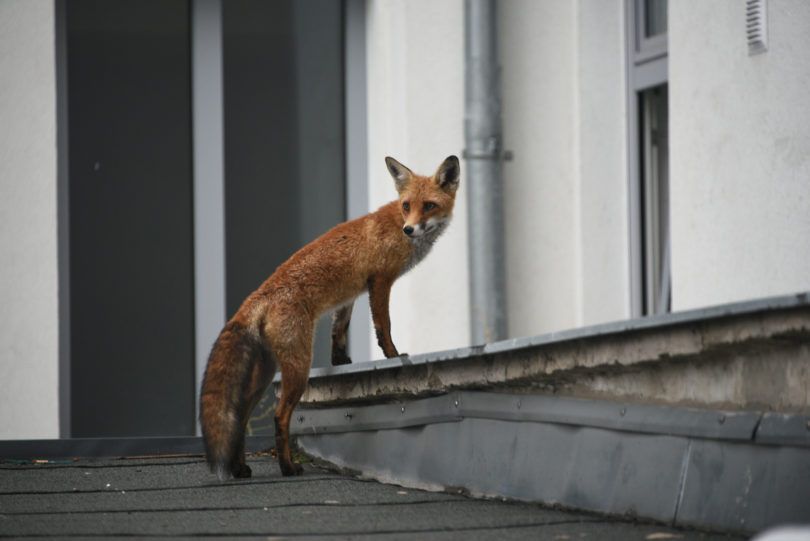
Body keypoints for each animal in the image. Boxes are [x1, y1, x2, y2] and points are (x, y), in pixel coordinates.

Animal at [199, 155, 458, 476]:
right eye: (407, 205)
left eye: (429, 205)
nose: (409, 230)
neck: (397, 224)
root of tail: (256, 297)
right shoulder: (381, 280)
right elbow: (383, 326)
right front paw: (393, 355)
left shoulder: (350, 295)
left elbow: (339, 330)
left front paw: (340, 362)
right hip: (298, 368)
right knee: (280, 417)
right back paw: (288, 468)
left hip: (265, 373)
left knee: (242, 416)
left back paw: (240, 469)